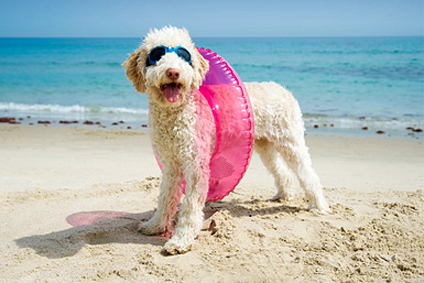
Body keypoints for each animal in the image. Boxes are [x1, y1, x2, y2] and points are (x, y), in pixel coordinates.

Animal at [123, 26, 332, 256]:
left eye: (184, 55)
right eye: (157, 55)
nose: (173, 72)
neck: (176, 113)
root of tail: (282, 88)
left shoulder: (195, 165)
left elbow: (190, 207)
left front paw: (181, 240)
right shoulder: (171, 165)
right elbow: (165, 198)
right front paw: (155, 225)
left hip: (291, 141)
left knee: (307, 173)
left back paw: (319, 206)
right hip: (265, 145)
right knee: (281, 171)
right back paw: (284, 195)